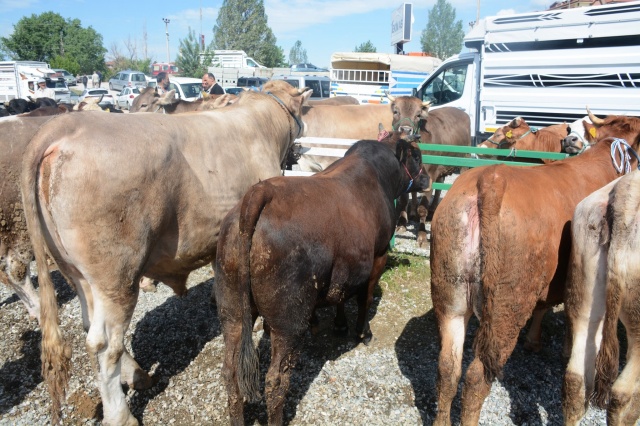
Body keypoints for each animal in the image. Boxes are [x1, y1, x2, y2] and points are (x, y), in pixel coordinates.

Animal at [19, 80, 310, 426]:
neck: (261, 123)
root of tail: (65, 127)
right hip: (116, 274)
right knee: (104, 344)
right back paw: (121, 414)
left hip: (76, 272)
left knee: (90, 324)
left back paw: (136, 374)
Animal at [215, 132, 430, 422]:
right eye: (416, 156)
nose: (427, 179)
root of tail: (259, 192)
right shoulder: (379, 254)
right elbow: (365, 297)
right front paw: (362, 332)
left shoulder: (344, 266)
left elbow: (340, 294)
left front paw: (339, 324)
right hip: (288, 320)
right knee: (275, 380)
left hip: (232, 312)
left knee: (231, 373)